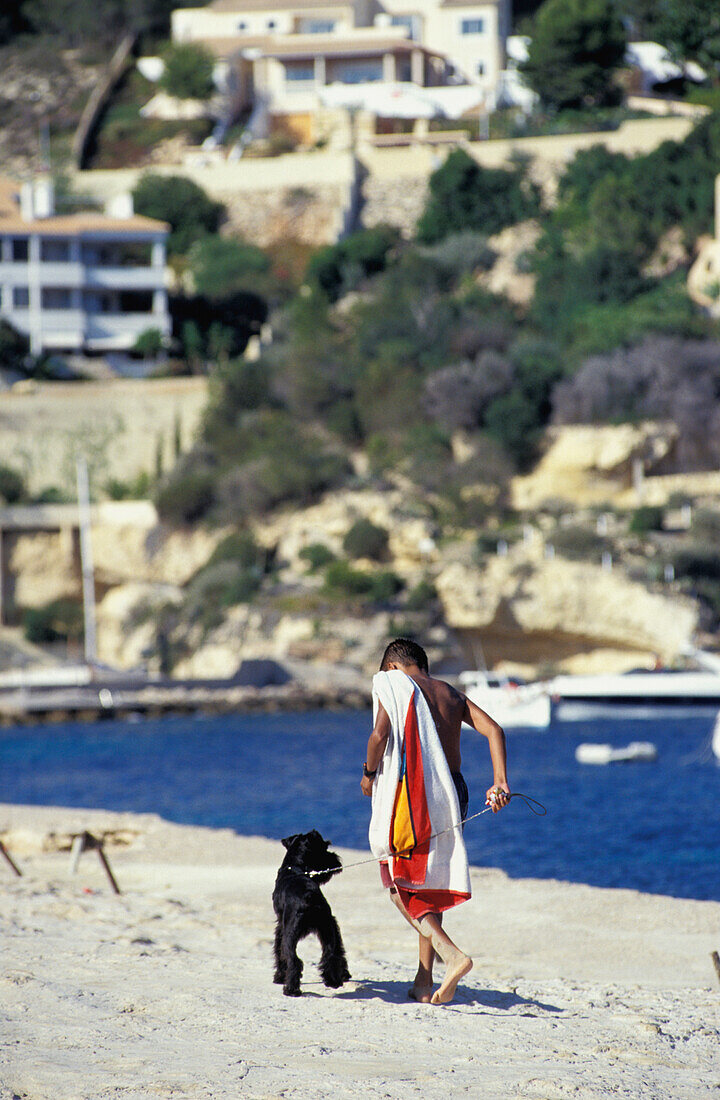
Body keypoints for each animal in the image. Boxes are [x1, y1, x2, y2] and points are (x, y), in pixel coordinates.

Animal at [273, 827, 351, 994]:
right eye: (325, 847)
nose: (336, 860)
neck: (295, 867)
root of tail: (309, 896)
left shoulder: (281, 926)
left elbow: (279, 951)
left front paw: (279, 977)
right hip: (327, 928)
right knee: (331, 954)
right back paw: (333, 981)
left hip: (290, 934)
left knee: (294, 960)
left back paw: (291, 989)